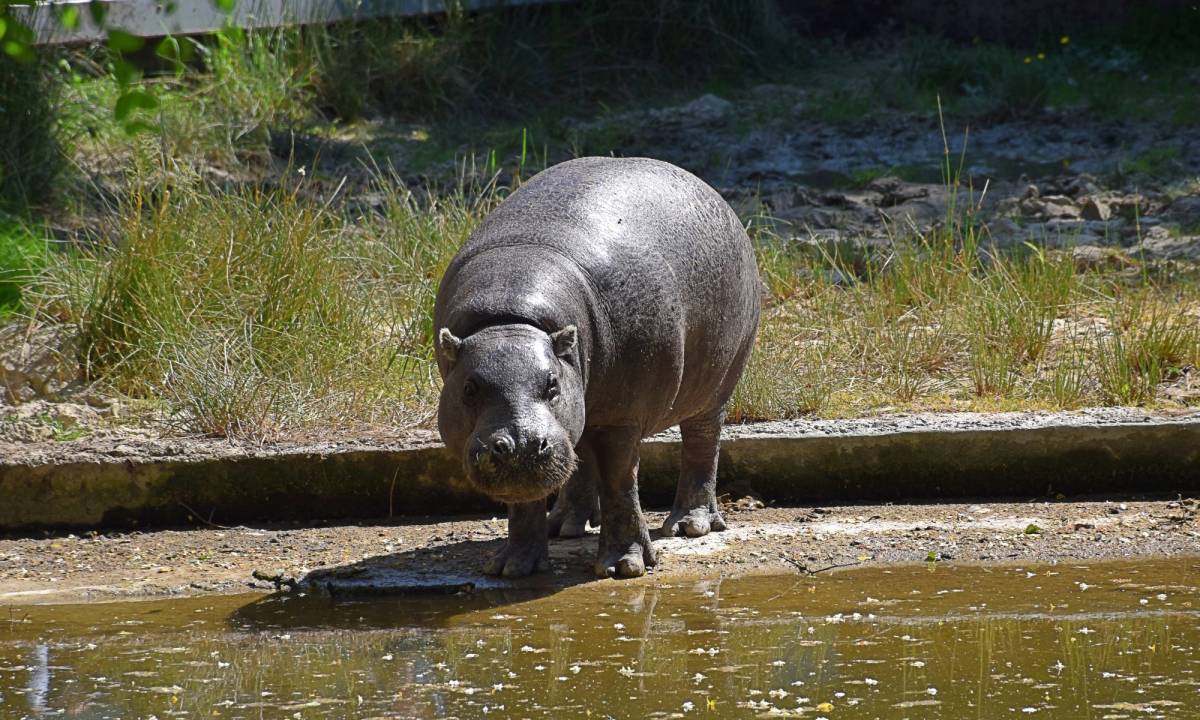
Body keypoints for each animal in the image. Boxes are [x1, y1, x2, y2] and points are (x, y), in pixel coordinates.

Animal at [436, 156, 758, 578]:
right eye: (469, 388)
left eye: (552, 384)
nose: (522, 445)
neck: (510, 318)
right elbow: (525, 500)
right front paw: (512, 567)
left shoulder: (620, 417)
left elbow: (619, 481)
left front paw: (625, 566)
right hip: (589, 408)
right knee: (579, 453)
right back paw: (565, 527)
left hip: (715, 386)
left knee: (702, 445)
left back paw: (689, 525)